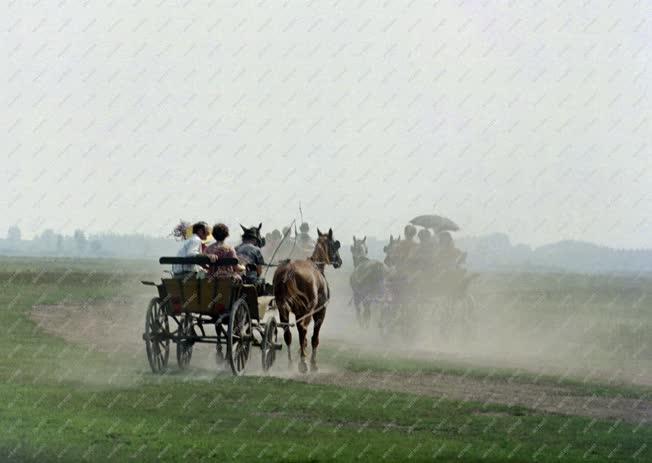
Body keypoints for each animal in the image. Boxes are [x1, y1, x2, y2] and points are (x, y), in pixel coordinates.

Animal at [272, 228, 344, 374]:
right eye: (335, 244)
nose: (339, 261)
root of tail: (289, 269)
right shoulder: (320, 311)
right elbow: (314, 338)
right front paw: (313, 363)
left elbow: (302, 339)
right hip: (306, 310)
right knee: (303, 329)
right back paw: (303, 363)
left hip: (283, 309)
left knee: (287, 333)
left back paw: (290, 364)